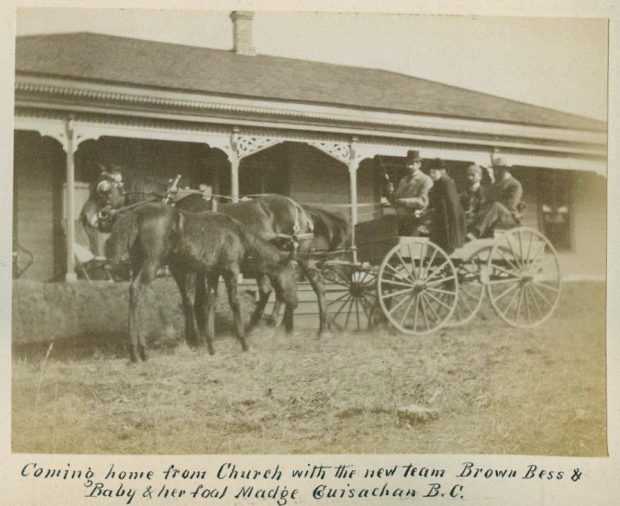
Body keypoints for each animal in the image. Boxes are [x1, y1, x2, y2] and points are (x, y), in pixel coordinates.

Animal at [79, 168, 344, 338]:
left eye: (103, 190)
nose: (84, 217)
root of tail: (299, 206)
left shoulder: (192, 268)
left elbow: (196, 299)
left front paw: (197, 336)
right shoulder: (180, 267)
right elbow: (192, 300)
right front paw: (195, 335)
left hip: (303, 257)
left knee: (317, 287)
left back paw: (322, 329)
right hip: (271, 261)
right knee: (275, 290)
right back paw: (271, 326)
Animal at [104, 204, 298, 362]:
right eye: (292, 276)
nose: (295, 302)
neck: (239, 235)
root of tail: (137, 214)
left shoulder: (212, 272)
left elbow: (209, 302)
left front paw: (211, 346)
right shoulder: (230, 270)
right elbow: (234, 303)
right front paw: (244, 342)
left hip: (137, 264)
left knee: (135, 294)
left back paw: (138, 350)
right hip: (151, 263)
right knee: (137, 290)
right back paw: (138, 350)